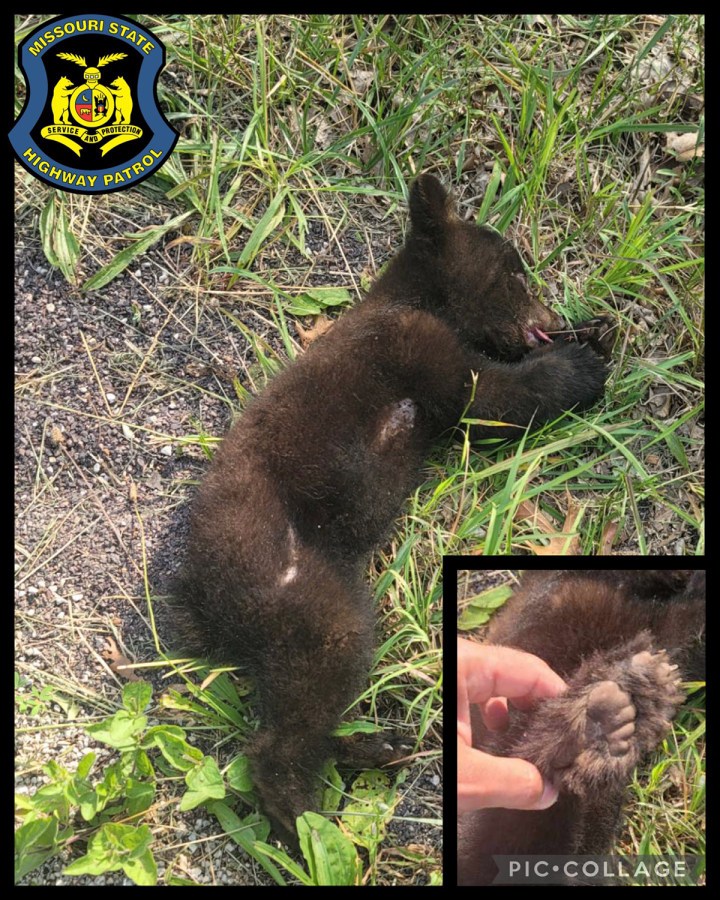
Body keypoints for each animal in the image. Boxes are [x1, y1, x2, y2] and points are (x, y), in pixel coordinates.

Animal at [172, 173, 614, 843]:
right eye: (514, 271)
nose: (549, 320)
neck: (419, 300)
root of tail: (202, 601)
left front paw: (595, 331)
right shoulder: (415, 346)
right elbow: (488, 398)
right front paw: (581, 362)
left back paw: (372, 750)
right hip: (296, 587)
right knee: (300, 704)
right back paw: (303, 820)